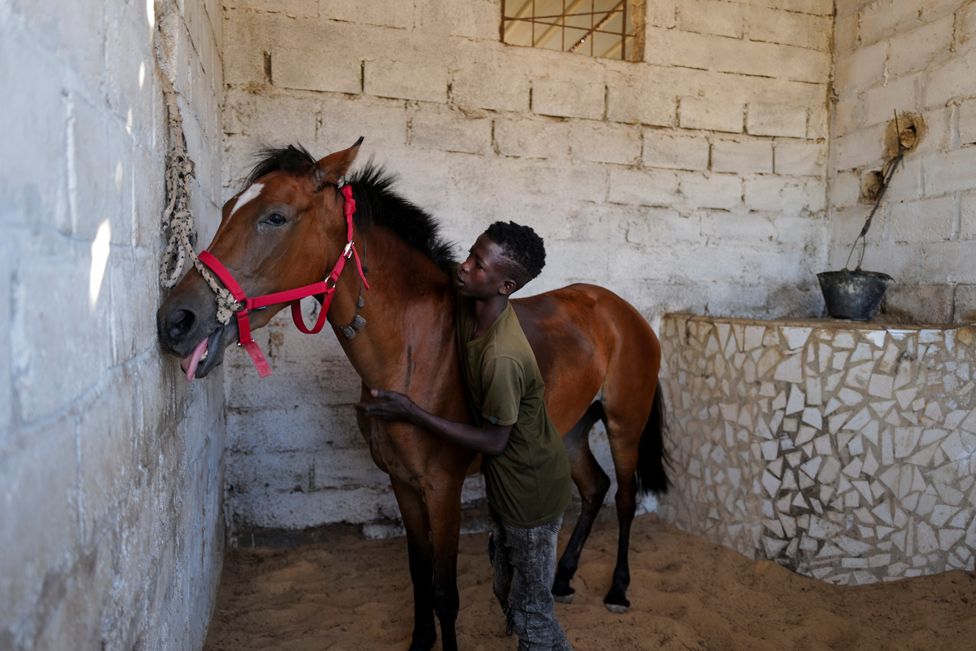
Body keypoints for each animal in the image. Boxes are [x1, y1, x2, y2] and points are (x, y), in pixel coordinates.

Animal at [156, 143, 672, 651]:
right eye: (227, 208)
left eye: (276, 217)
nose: (176, 320)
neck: (413, 349)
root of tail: (625, 312)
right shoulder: (402, 483)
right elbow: (419, 573)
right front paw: (421, 641)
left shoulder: (441, 488)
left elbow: (445, 591)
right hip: (570, 429)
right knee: (594, 488)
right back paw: (563, 579)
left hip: (624, 425)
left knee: (625, 498)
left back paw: (618, 590)